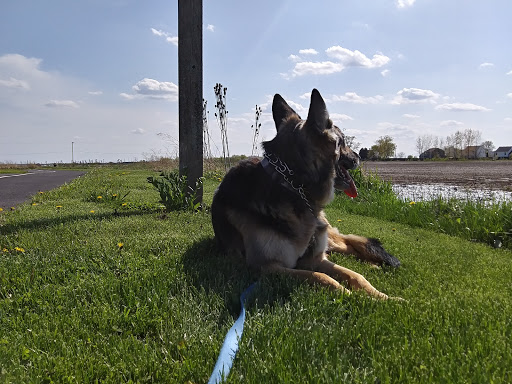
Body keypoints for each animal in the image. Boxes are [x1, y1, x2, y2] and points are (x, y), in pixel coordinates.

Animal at [211, 90, 400, 300]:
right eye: (343, 142)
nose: (359, 156)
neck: (291, 186)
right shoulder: (269, 267)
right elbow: (323, 277)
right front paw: (354, 297)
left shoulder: (315, 258)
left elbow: (355, 276)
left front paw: (385, 298)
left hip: (328, 237)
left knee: (348, 244)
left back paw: (373, 263)